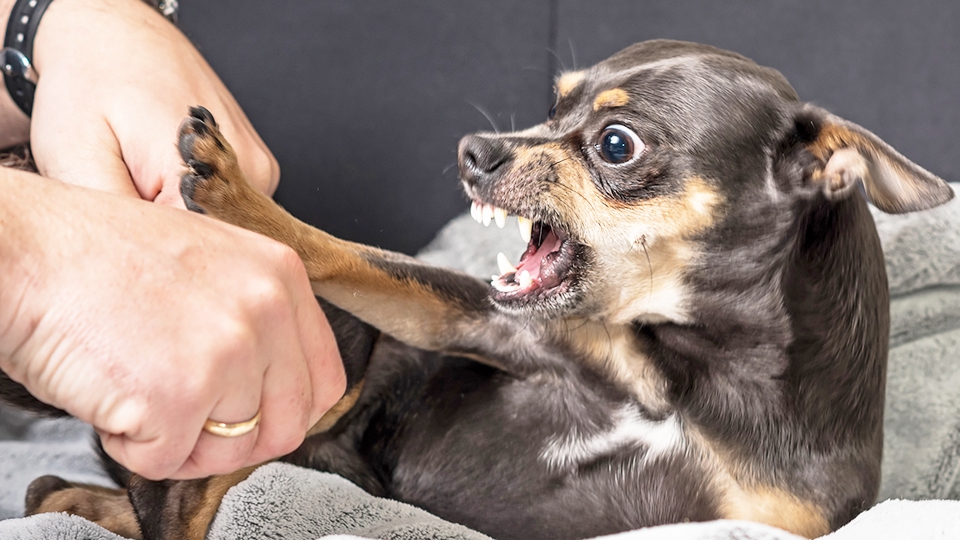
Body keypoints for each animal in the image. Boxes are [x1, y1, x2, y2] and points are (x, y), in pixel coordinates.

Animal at [7, 39, 952, 540]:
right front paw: (244, 199)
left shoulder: (765, 521)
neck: (690, 374)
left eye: (615, 144)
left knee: (92, 498)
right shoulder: (480, 323)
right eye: (555, 106)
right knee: (157, 506)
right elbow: (346, 254)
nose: (475, 149)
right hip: (334, 366)